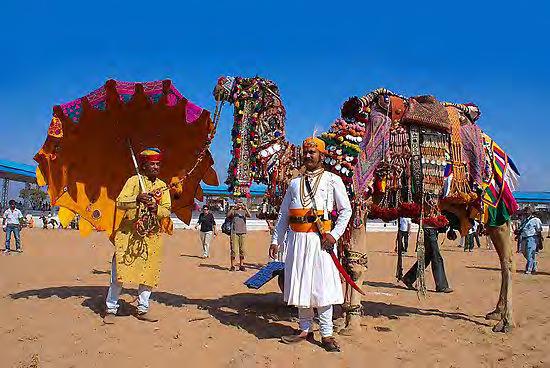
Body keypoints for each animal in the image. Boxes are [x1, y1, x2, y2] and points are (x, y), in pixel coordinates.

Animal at [215, 75, 520, 334]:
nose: (220, 83)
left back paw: (505, 321)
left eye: (245, 82)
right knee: (503, 256)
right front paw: (343, 313)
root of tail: (498, 149)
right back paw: (495, 312)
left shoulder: (357, 204)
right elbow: (346, 261)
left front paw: (351, 323)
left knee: (507, 256)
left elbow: (355, 263)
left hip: (493, 202)